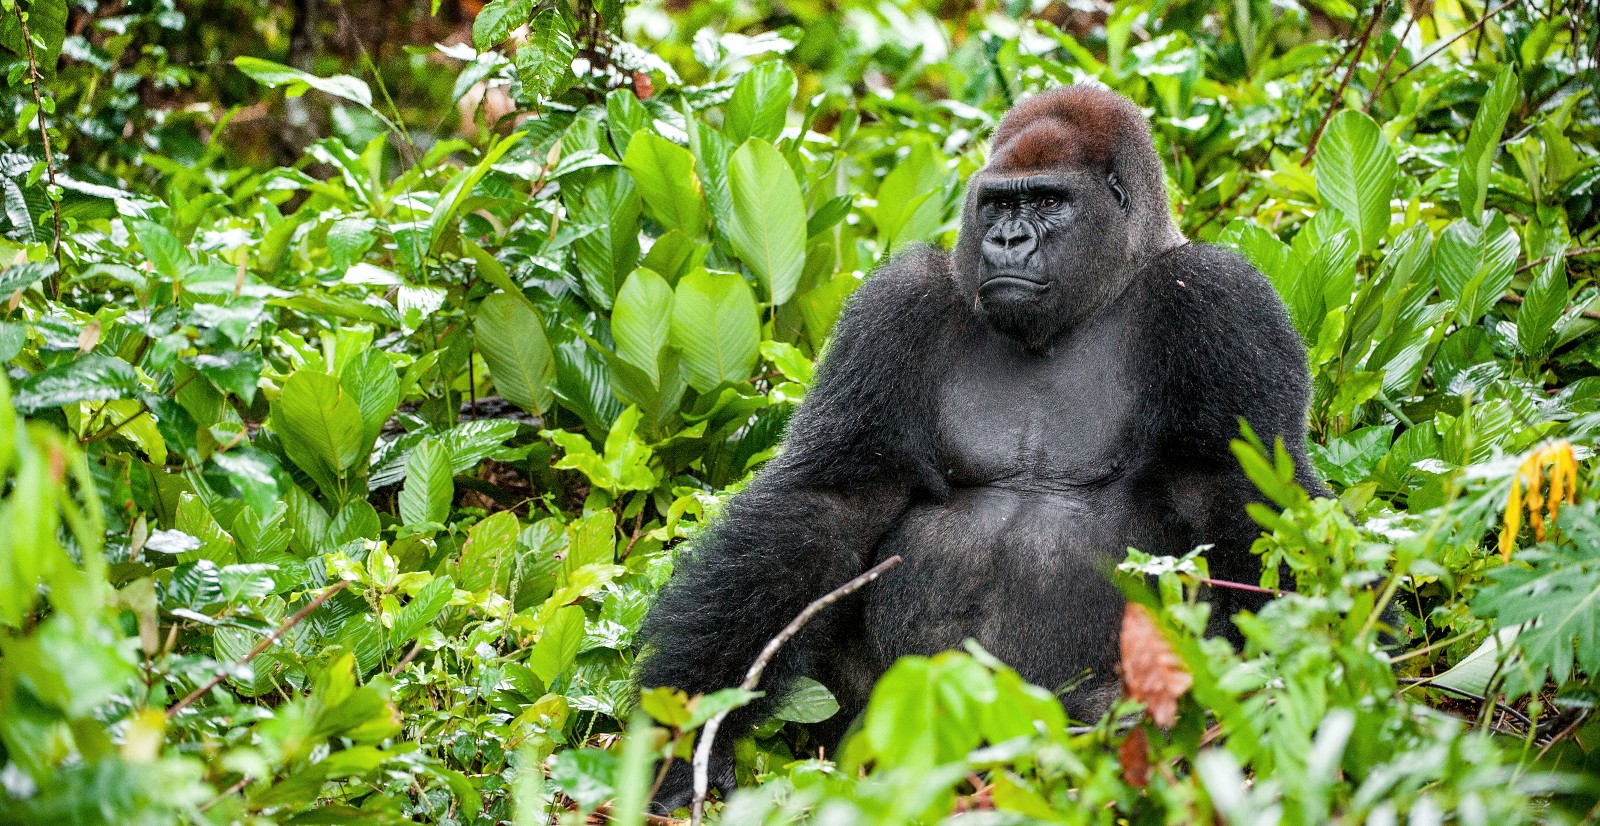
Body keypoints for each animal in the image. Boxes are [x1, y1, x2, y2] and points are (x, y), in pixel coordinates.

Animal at [636, 87, 1324, 803]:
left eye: (1048, 201)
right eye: (997, 204)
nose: (1006, 240)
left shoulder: (1222, 299)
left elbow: (1244, 497)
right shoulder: (898, 303)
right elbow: (832, 503)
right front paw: (689, 730)